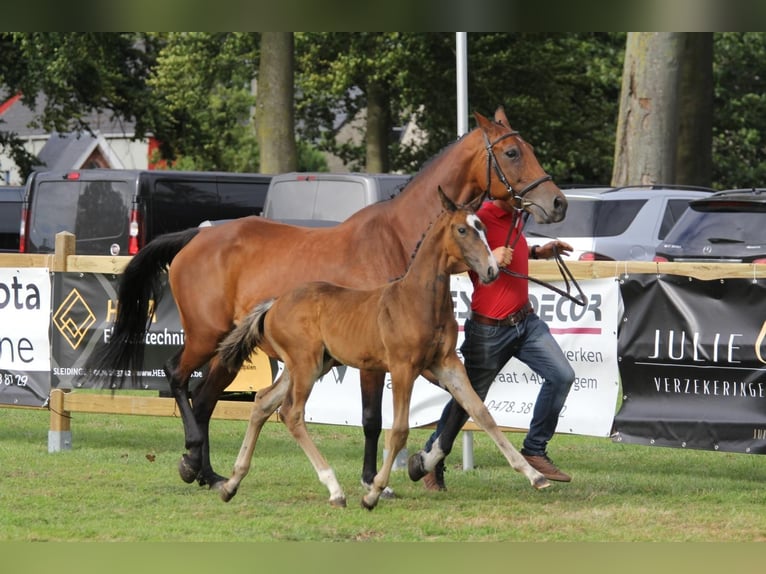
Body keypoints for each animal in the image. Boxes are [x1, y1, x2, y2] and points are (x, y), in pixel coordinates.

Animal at [218, 189, 552, 508]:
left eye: (481, 227)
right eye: (462, 229)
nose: (492, 270)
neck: (417, 300)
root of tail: (274, 304)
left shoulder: (446, 364)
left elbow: (481, 412)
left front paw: (535, 476)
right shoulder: (403, 368)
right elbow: (400, 429)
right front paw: (374, 492)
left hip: (311, 365)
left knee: (263, 402)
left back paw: (232, 483)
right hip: (305, 364)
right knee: (292, 413)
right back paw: (335, 490)